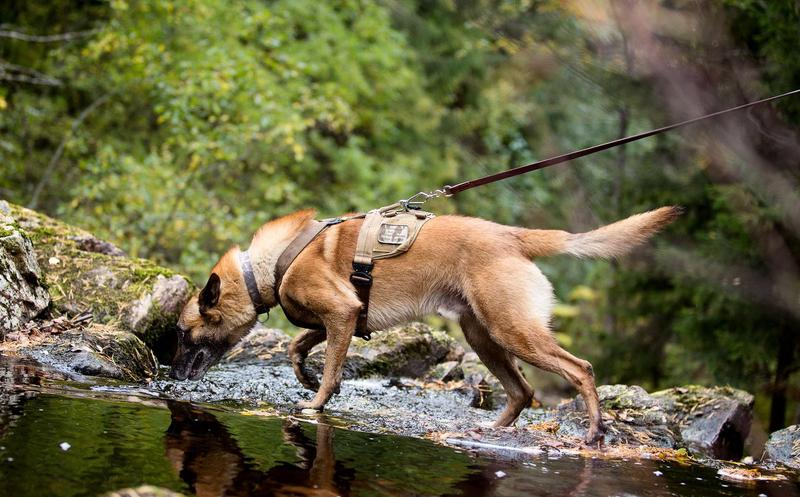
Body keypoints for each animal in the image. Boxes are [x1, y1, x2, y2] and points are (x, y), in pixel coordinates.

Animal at [170, 203, 680, 444]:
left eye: (183, 333)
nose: (171, 375)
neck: (267, 267)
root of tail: (514, 236)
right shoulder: (343, 318)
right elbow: (299, 349)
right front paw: (310, 378)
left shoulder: (341, 313)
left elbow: (329, 366)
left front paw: (315, 402)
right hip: (484, 336)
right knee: (522, 391)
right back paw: (490, 431)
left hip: (512, 331)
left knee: (580, 369)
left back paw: (594, 432)